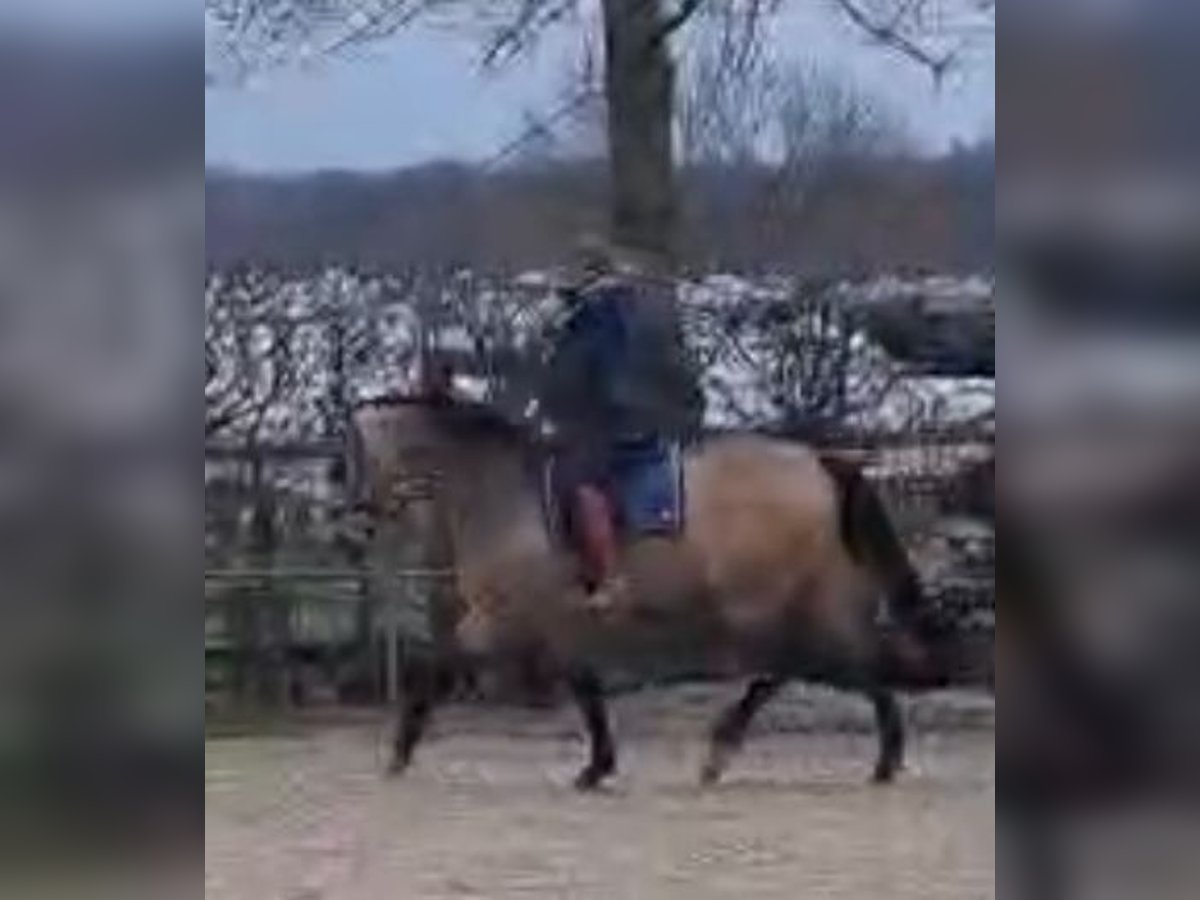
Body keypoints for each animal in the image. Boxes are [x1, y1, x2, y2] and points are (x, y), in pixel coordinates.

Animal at [348, 393, 984, 787]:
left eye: (350, 453)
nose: (356, 519)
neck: (501, 494)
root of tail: (819, 462)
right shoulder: (554, 625)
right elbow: (585, 690)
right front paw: (597, 766)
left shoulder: (499, 618)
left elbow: (436, 665)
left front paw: (399, 752)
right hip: (804, 598)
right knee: (816, 664)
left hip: (758, 604)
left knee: (813, 664)